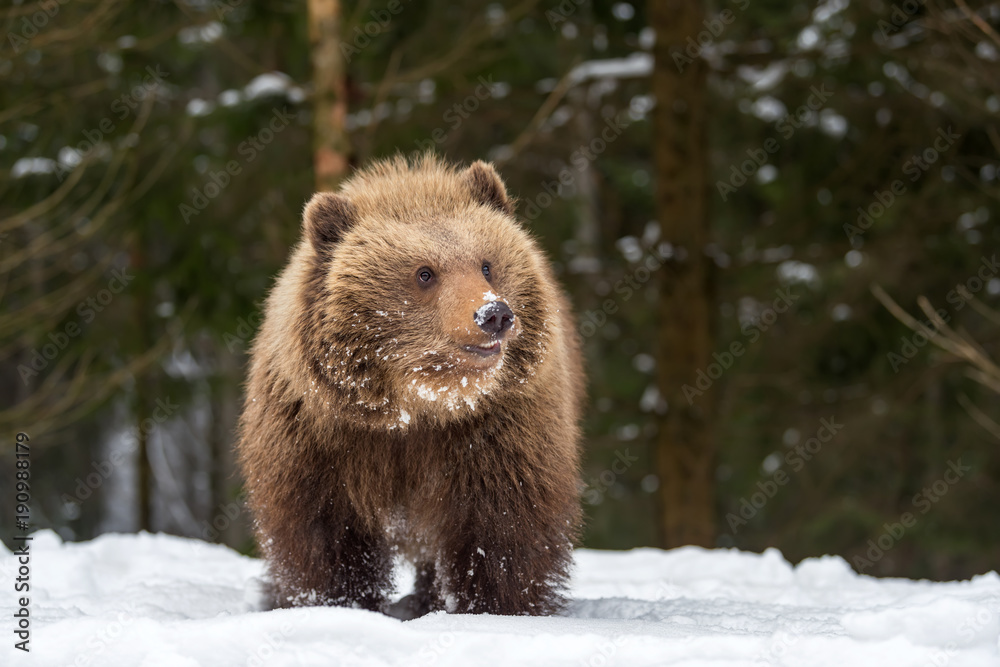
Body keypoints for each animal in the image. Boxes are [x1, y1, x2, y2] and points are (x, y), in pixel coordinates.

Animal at [236, 154, 583, 617]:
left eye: (486, 263)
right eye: (424, 273)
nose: (493, 314)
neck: (416, 406)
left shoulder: (496, 432)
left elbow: (502, 528)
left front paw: (497, 606)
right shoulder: (320, 437)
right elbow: (323, 535)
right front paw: (333, 602)